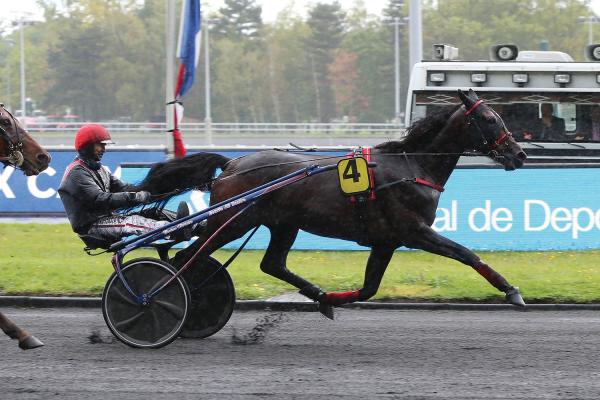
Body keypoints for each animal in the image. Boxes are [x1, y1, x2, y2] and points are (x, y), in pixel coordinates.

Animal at [136, 89, 524, 318]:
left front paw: (329, 301)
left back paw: (316, 293)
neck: (412, 167)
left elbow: (369, 288)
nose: (518, 154)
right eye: (490, 118)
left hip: (282, 224)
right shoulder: (414, 231)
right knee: (187, 258)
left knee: (271, 264)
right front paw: (512, 290)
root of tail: (233, 164)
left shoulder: (386, 240)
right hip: (231, 222)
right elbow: (467, 254)